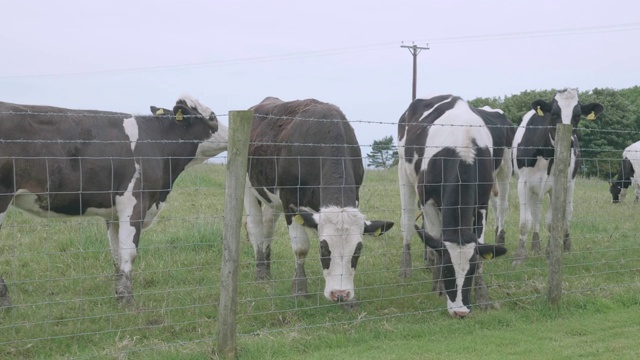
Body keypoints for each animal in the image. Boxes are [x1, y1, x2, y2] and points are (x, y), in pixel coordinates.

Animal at [0, 95, 225, 306]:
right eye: (213, 116)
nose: (228, 134)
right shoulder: (134, 201)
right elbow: (129, 252)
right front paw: (128, 300)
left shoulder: (114, 213)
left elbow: (116, 253)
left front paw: (119, 294)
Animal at [245, 96, 396, 304]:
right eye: (324, 249)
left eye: (358, 250)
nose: (340, 294)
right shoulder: (290, 200)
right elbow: (301, 247)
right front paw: (299, 289)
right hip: (248, 186)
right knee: (255, 228)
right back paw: (260, 273)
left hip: (272, 198)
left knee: (268, 226)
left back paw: (267, 270)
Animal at [398, 95, 508, 318]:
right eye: (448, 269)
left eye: (470, 271)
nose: (460, 311)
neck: (463, 148)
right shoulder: (428, 200)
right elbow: (436, 242)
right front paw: (438, 286)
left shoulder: (481, 203)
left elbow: (479, 248)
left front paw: (482, 295)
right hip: (403, 173)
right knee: (407, 222)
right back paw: (407, 270)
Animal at [510, 88, 604, 266]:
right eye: (554, 114)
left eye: (578, 116)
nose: (570, 143)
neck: (546, 154)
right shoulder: (523, 183)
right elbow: (526, 221)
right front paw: (520, 256)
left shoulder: (557, 186)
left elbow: (553, 222)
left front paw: (550, 252)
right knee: (537, 214)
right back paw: (535, 246)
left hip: (570, 183)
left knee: (567, 212)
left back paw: (566, 245)